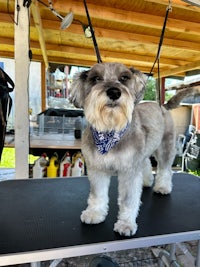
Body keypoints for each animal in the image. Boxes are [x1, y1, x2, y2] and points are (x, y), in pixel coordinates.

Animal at [70, 62, 198, 237]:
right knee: (146, 164)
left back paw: (162, 187)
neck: (110, 130)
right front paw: (95, 213)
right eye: (96, 78)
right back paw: (146, 181)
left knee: (165, 169)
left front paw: (125, 224)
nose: (114, 92)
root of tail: (162, 106)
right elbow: (97, 194)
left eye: (124, 78)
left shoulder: (129, 172)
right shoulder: (97, 169)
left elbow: (128, 200)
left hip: (165, 148)